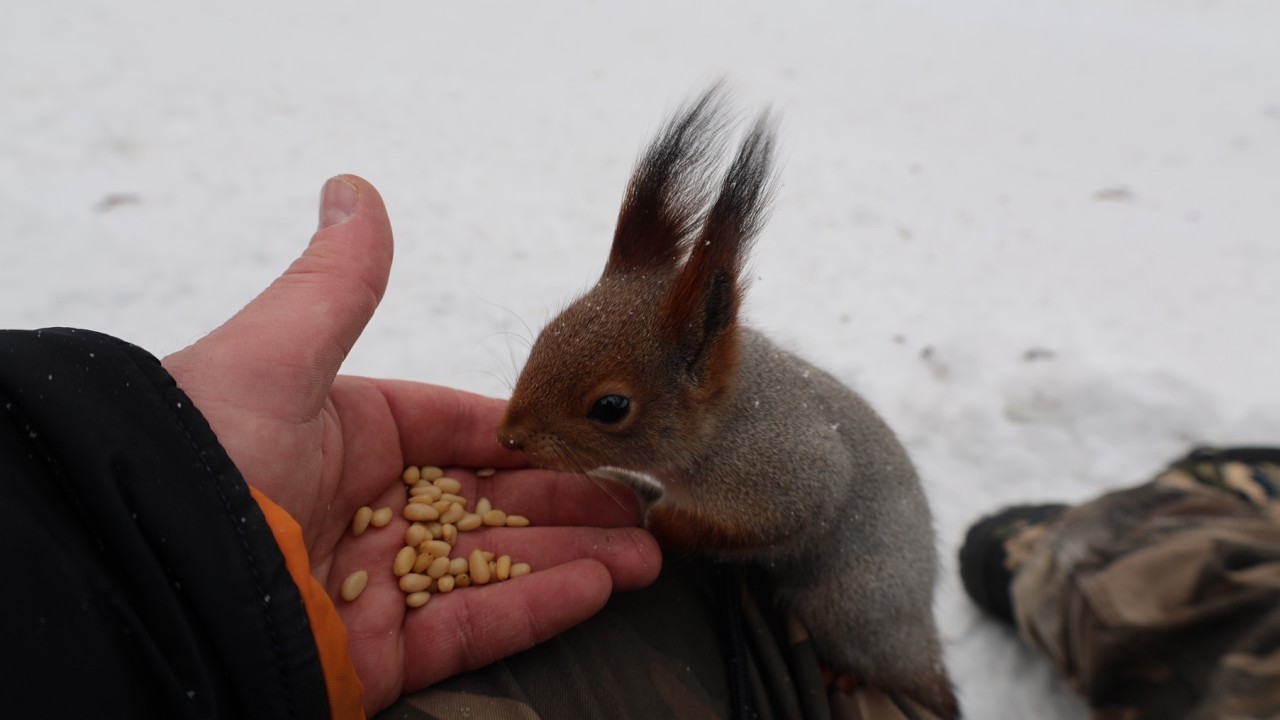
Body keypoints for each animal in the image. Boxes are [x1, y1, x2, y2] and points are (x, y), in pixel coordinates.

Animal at [496, 87, 958, 719]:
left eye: (611, 407)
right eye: (544, 335)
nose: (508, 435)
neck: (722, 428)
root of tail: (920, 635)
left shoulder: (787, 479)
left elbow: (758, 526)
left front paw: (663, 520)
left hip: (851, 602)